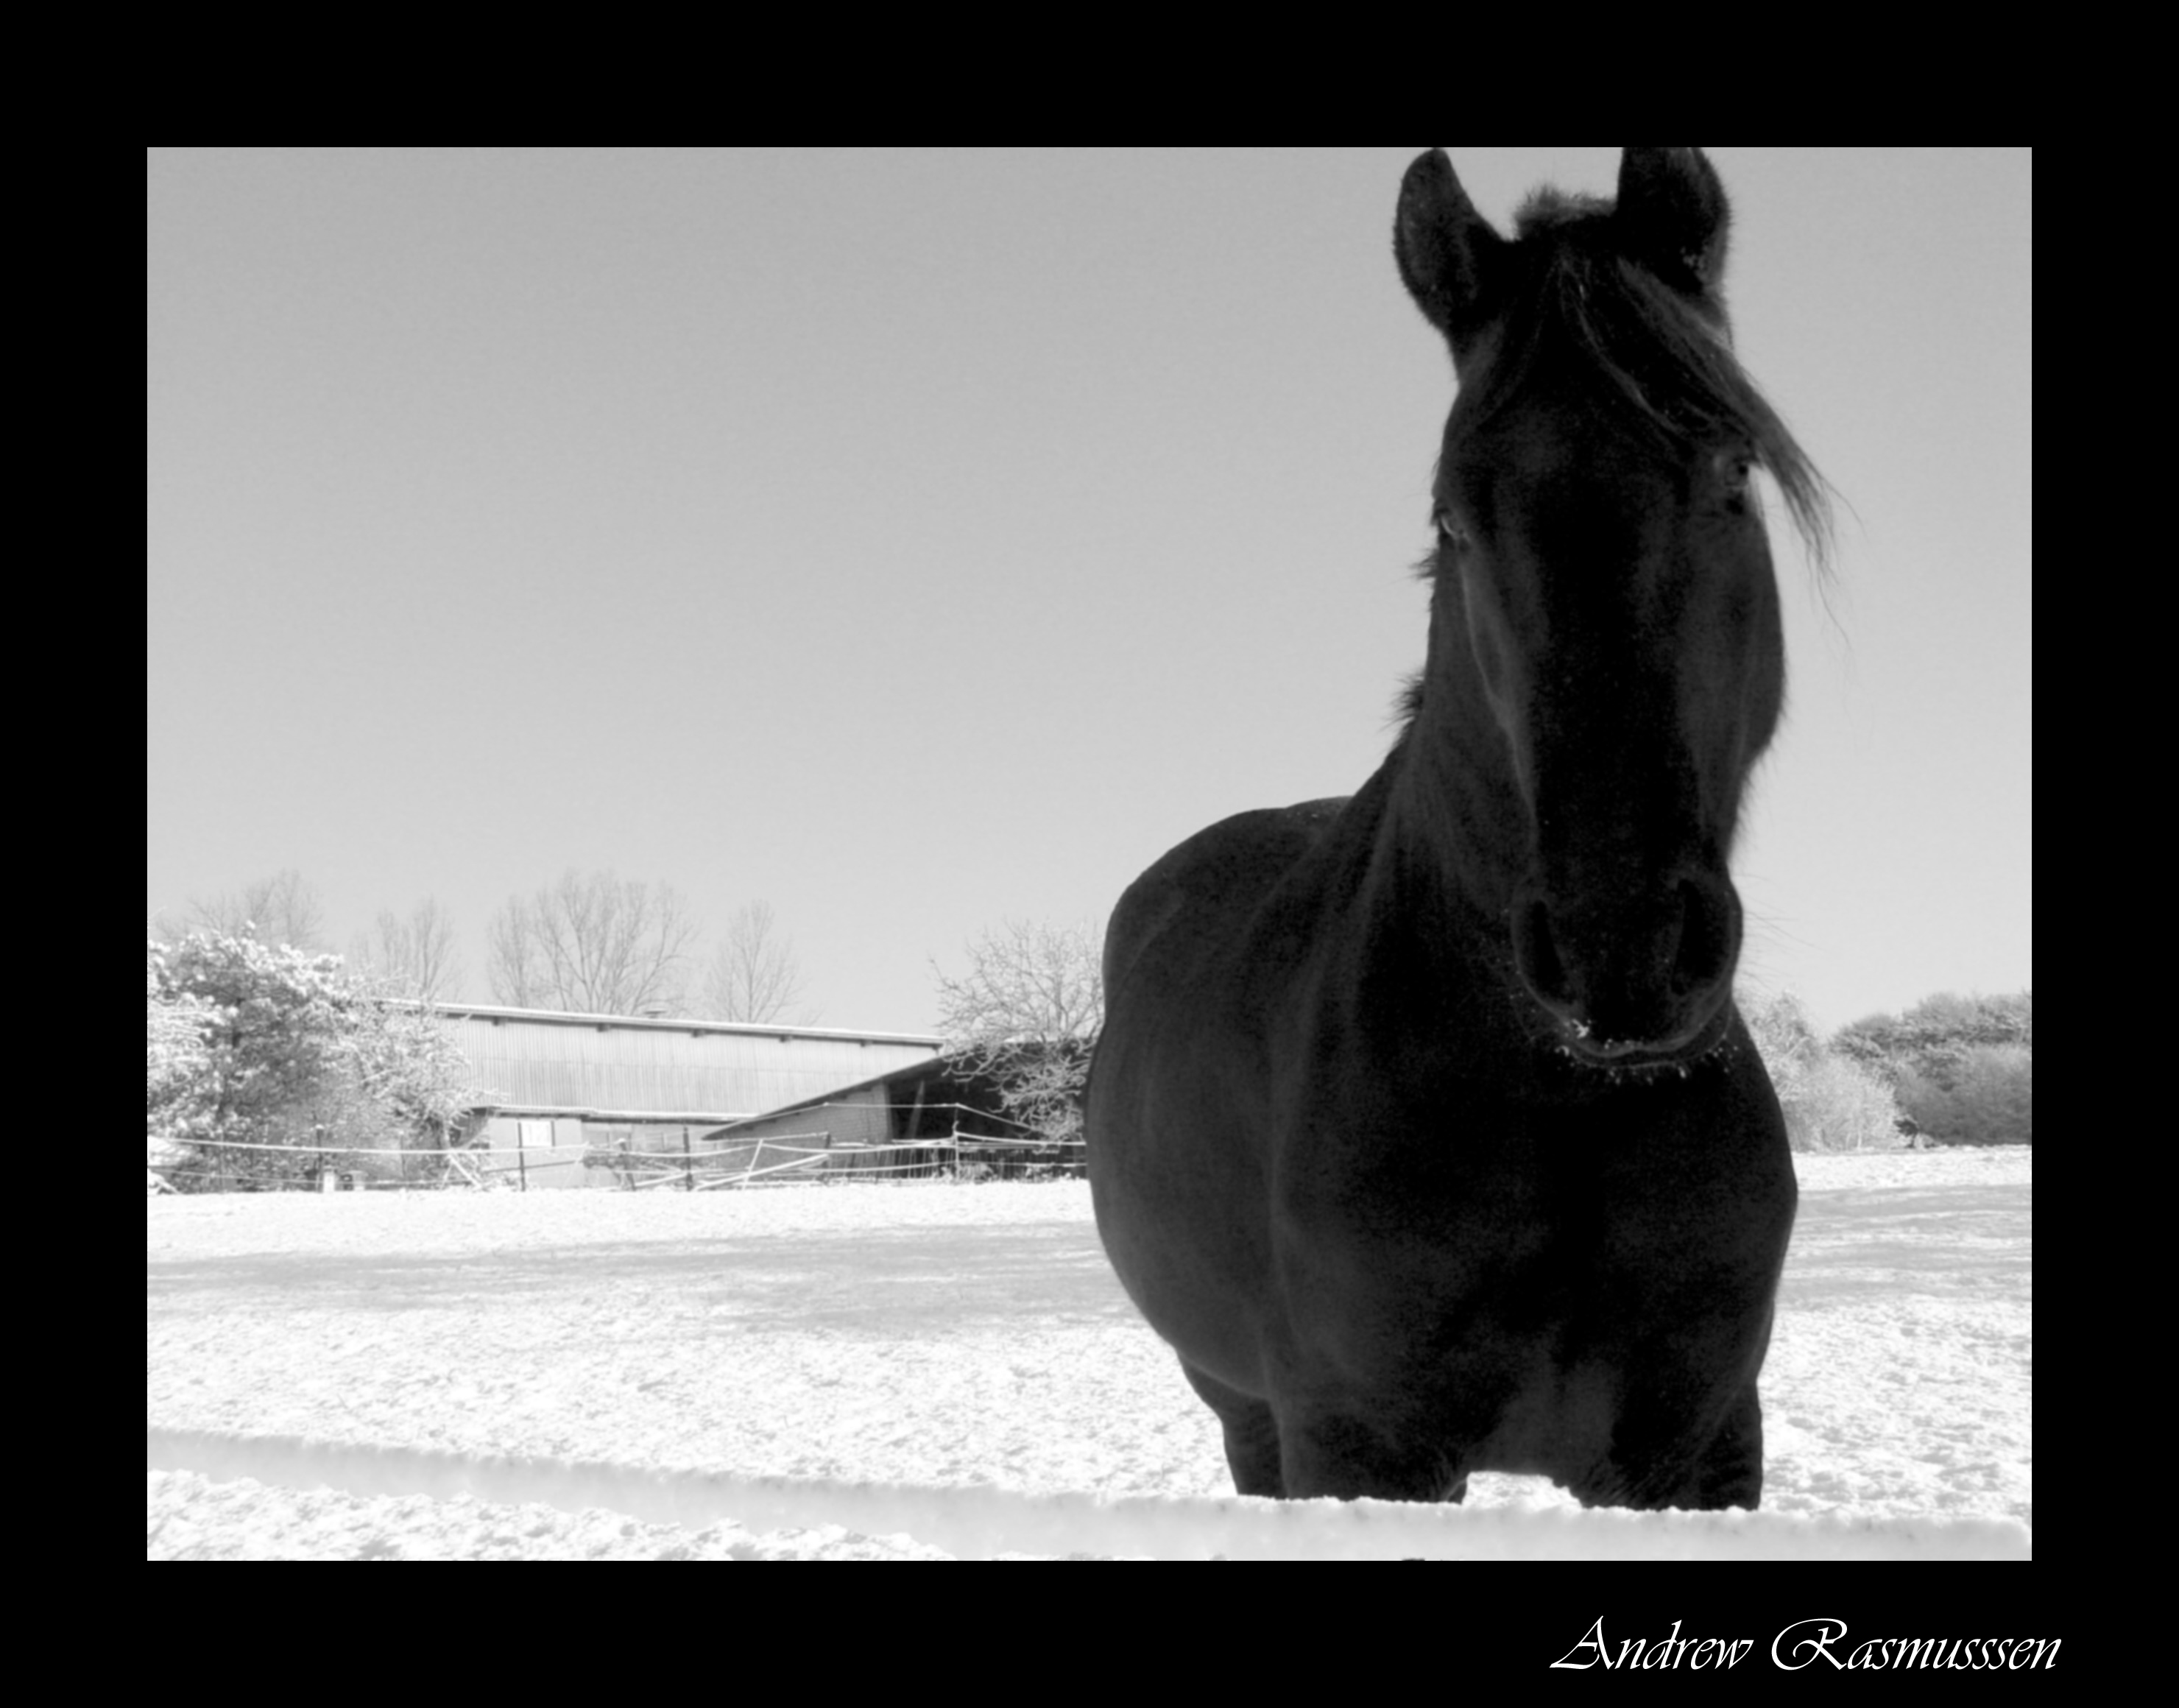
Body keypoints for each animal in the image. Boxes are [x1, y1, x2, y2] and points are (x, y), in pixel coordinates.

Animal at [1085, 147, 1821, 1507]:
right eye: (1453, 518)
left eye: (1733, 476)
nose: (1620, 950)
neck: (1564, 1109)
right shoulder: (1357, 1446)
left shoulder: (1698, 1446)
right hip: (1245, 1415)